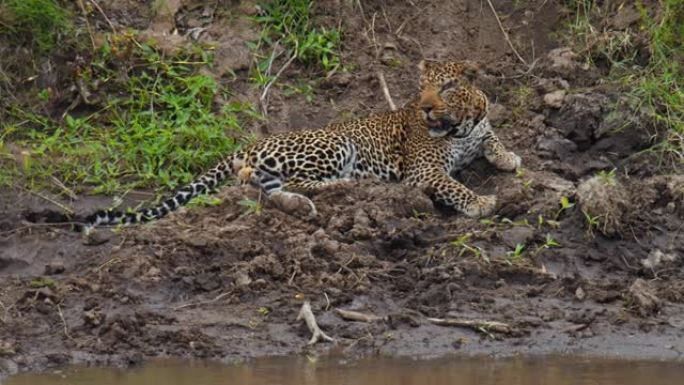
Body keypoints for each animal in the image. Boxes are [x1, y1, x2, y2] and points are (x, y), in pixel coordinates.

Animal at [81, 59, 520, 232]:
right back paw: (350, 185)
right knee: (300, 180)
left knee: (266, 187)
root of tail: (251, 142)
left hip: (274, 169)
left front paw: (509, 158)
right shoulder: (423, 170)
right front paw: (480, 203)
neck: (459, 125)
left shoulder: (480, 128)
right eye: (423, 88)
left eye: (446, 87)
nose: (427, 107)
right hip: (336, 143)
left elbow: (493, 138)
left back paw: (301, 206)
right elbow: (452, 184)